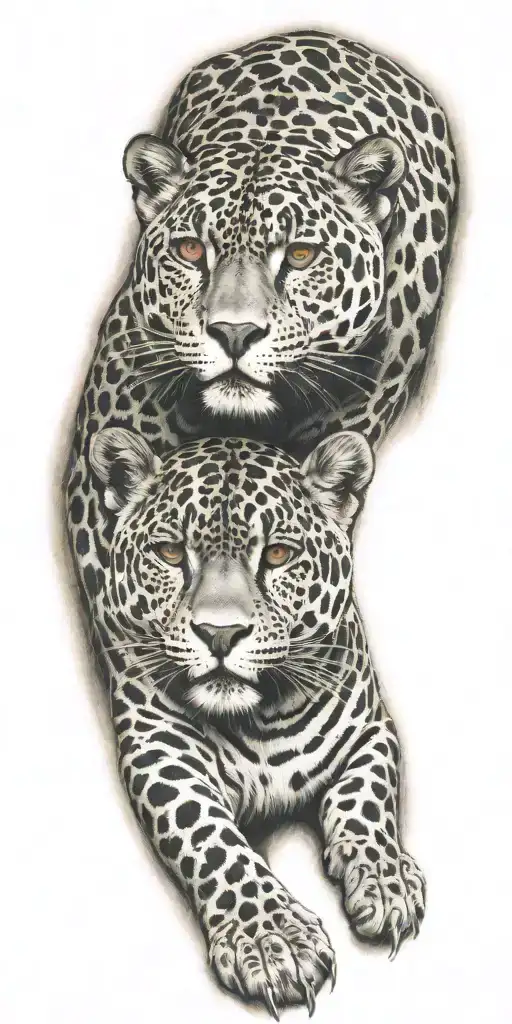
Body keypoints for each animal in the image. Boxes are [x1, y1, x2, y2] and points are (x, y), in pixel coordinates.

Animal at [85, 426, 425, 1017]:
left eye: (279, 554)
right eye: (170, 552)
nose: (220, 634)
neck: (262, 715)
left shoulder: (370, 729)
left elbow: (367, 797)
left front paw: (385, 882)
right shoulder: (161, 750)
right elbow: (212, 838)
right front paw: (273, 940)